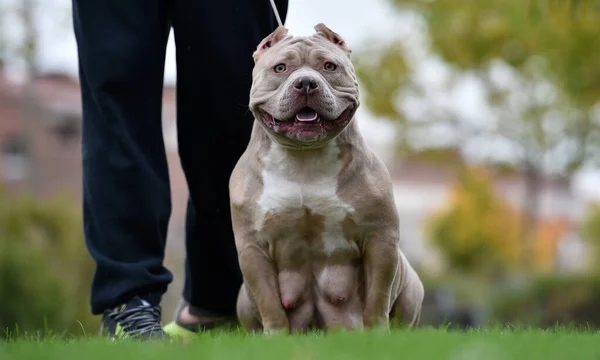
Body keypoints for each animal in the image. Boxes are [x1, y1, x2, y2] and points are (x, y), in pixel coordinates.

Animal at [227, 23, 424, 334]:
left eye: (329, 66)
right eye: (280, 68)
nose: (306, 83)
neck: (304, 159)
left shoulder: (380, 237)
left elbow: (378, 295)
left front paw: (378, 335)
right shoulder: (253, 247)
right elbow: (269, 300)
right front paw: (276, 336)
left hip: (411, 286)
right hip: (244, 299)